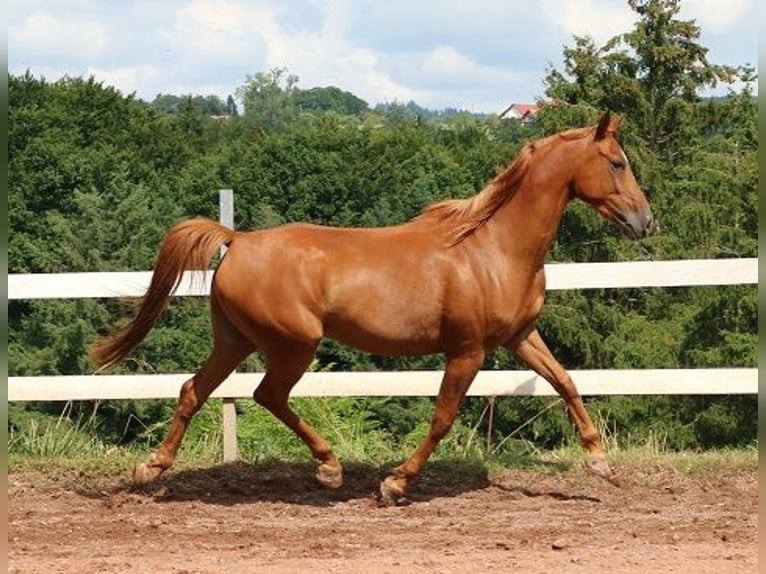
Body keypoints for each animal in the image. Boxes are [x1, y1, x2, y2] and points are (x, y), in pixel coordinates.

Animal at [92, 112, 654, 505]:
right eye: (618, 163)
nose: (645, 221)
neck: (493, 247)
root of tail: (239, 240)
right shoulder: (467, 351)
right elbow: (443, 418)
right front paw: (395, 484)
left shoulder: (519, 337)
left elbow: (565, 381)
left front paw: (599, 462)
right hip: (293, 344)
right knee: (267, 394)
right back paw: (329, 468)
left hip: (236, 339)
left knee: (194, 390)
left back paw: (149, 469)